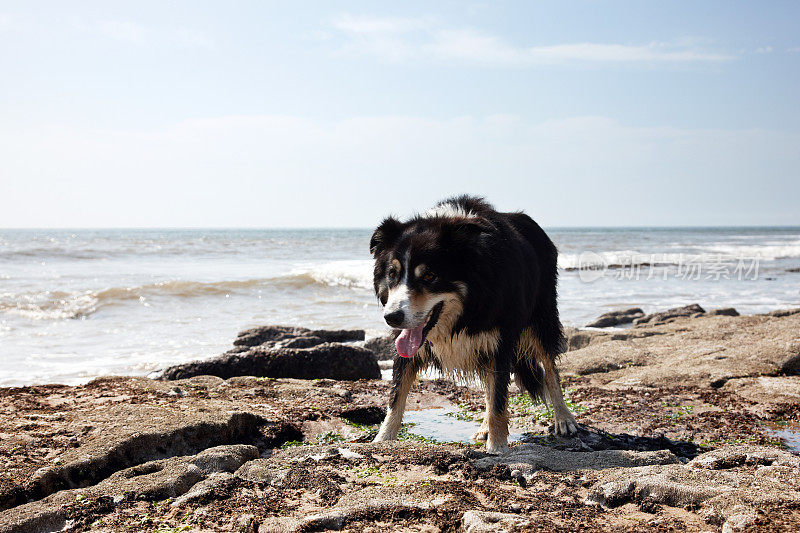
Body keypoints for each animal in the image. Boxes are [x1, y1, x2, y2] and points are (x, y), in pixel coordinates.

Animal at [368, 195, 576, 454]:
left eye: (429, 276)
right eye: (392, 274)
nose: (392, 317)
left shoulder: (500, 339)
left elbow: (499, 397)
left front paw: (497, 447)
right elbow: (396, 394)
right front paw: (382, 440)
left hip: (541, 315)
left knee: (550, 368)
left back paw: (564, 419)